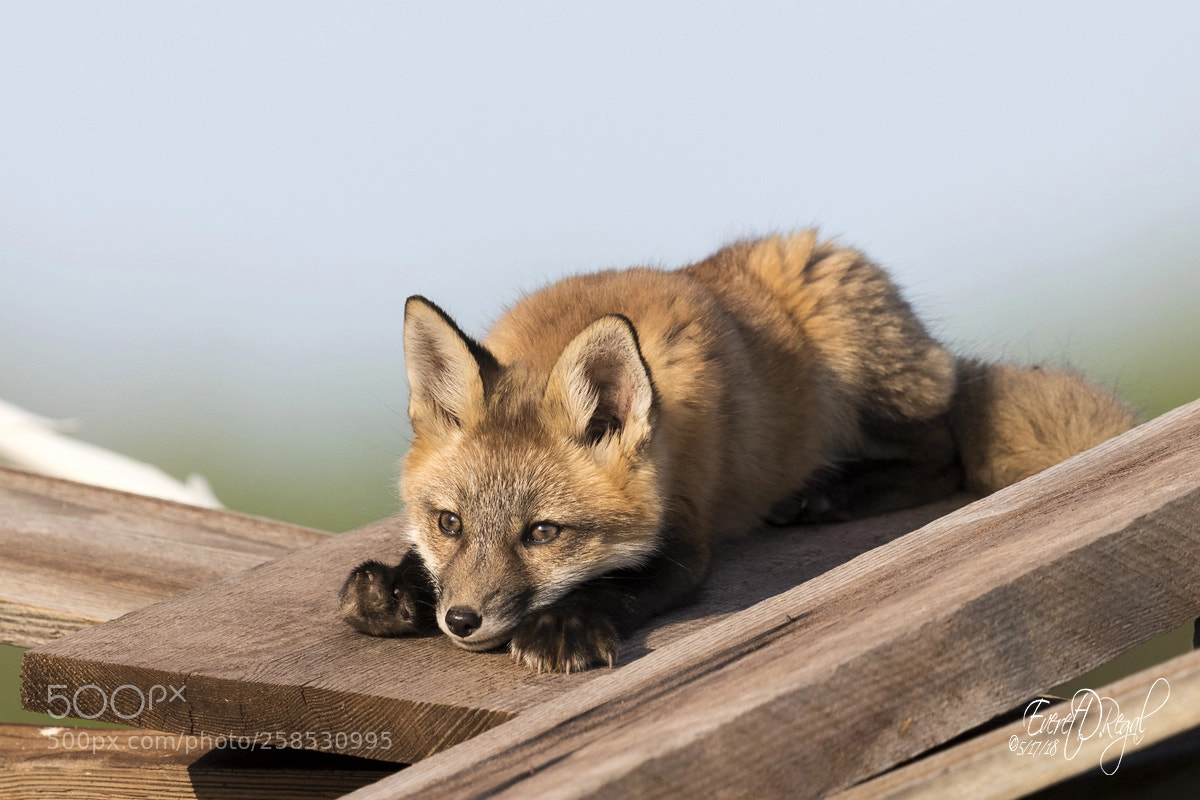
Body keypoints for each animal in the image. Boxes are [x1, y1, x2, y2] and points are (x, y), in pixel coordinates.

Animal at [339, 231, 1137, 673]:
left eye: (543, 533)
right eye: (449, 524)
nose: (461, 620)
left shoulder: (685, 532)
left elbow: (622, 581)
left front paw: (565, 625)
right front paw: (396, 586)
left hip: (858, 354)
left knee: (944, 450)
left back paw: (829, 494)